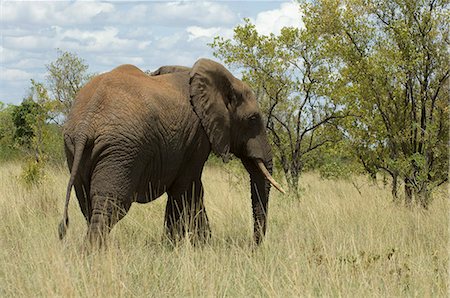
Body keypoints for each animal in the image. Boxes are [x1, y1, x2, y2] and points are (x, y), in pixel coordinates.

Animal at [59, 57, 284, 247]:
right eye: (253, 119)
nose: (253, 247)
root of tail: (87, 121)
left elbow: (186, 191)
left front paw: (183, 246)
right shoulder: (196, 136)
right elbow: (188, 189)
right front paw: (191, 247)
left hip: (76, 148)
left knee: (88, 203)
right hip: (120, 149)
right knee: (110, 205)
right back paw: (95, 255)